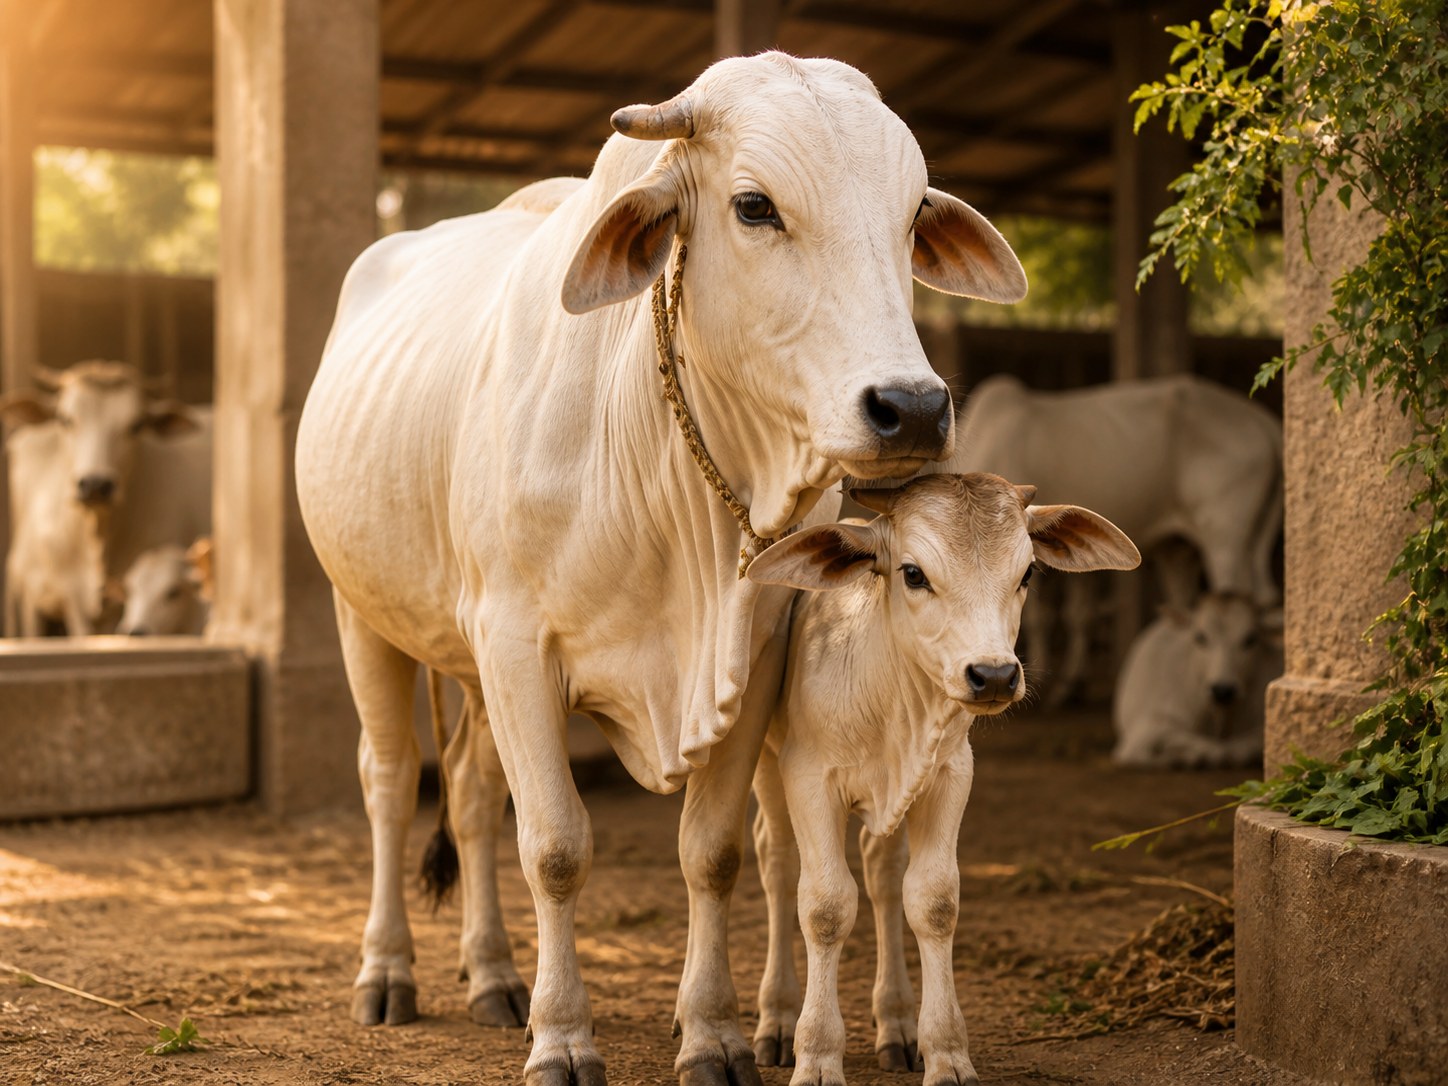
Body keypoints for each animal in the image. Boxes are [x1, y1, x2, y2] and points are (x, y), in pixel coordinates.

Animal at [295, 53, 1027, 1086]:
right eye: (755, 206)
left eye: (914, 209)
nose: (913, 408)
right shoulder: (516, 643)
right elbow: (555, 847)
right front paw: (564, 1040)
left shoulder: (753, 654)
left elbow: (711, 852)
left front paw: (713, 1034)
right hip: (363, 613)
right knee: (394, 784)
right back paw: (389, 973)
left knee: (471, 793)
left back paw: (493, 976)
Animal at [744, 474, 1139, 1084]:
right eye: (913, 573)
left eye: (1027, 573)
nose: (994, 675)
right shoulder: (809, 779)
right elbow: (826, 907)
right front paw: (816, 1056)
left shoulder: (949, 776)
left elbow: (932, 902)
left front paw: (945, 1053)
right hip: (768, 764)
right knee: (779, 863)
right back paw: (779, 1019)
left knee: (883, 873)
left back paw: (897, 1024)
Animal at [946, 374, 1282, 701]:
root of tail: (1266, 425)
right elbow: (1078, 613)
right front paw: (1072, 682)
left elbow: (1040, 617)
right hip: (1182, 548)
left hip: (1225, 535)